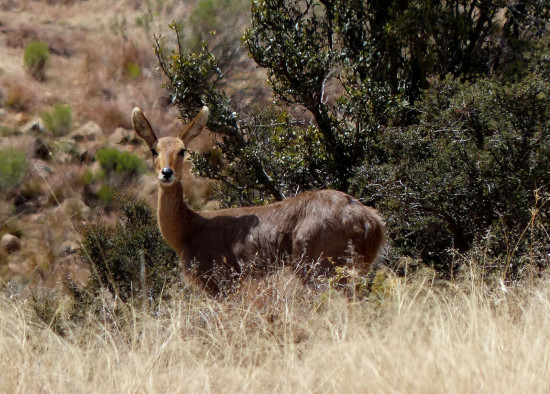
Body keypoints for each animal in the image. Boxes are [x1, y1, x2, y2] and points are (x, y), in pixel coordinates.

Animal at [132, 106, 386, 294]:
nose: (166, 173)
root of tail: (369, 221)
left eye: (183, 150)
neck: (188, 230)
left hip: (319, 264)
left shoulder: (222, 281)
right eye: (154, 150)